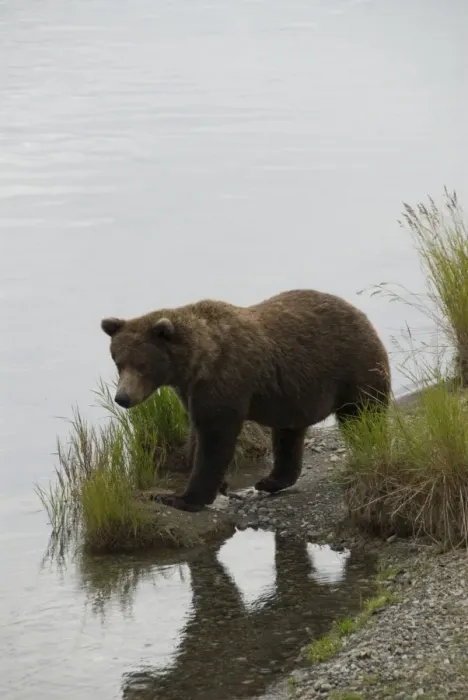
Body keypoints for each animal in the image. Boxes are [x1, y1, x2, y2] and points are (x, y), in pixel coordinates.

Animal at [101, 288, 390, 512]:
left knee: (363, 414)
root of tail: (360, 314)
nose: (122, 397)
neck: (195, 363)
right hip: (293, 394)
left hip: (354, 367)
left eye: (142, 365)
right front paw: (214, 485)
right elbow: (197, 431)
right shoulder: (192, 391)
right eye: (118, 361)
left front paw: (181, 497)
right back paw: (271, 480)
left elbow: (215, 438)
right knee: (288, 434)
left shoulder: (225, 379)